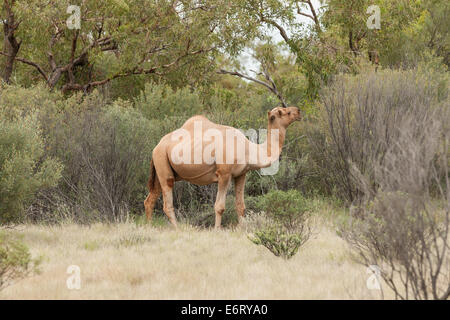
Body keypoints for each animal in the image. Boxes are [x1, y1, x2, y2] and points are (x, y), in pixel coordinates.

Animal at [144, 106, 300, 229]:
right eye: (284, 112)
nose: (298, 111)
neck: (248, 149)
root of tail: (156, 147)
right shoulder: (224, 173)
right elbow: (220, 207)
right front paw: (217, 230)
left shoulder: (241, 174)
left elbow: (240, 206)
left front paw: (242, 229)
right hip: (162, 163)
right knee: (167, 203)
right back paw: (178, 229)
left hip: (161, 169)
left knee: (149, 200)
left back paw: (150, 227)